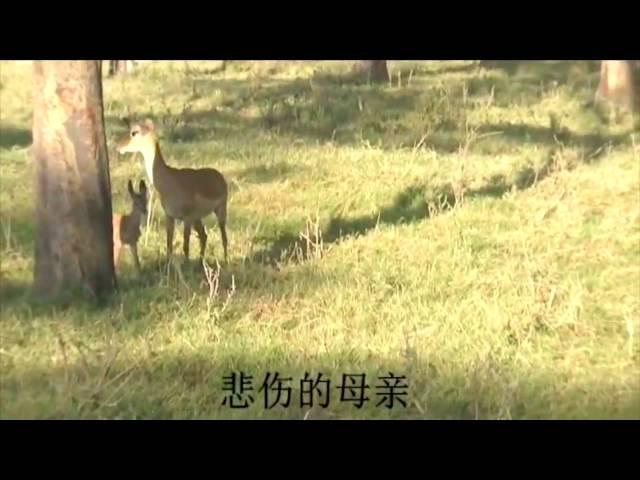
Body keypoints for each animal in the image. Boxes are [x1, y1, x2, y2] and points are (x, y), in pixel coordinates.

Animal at [116, 117, 229, 264]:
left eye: (134, 132)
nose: (118, 146)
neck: (168, 181)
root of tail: (220, 176)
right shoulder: (170, 216)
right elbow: (169, 245)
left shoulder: (187, 218)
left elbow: (185, 246)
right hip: (197, 218)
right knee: (204, 235)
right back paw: (200, 262)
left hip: (219, 210)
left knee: (224, 238)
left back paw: (225, 261)